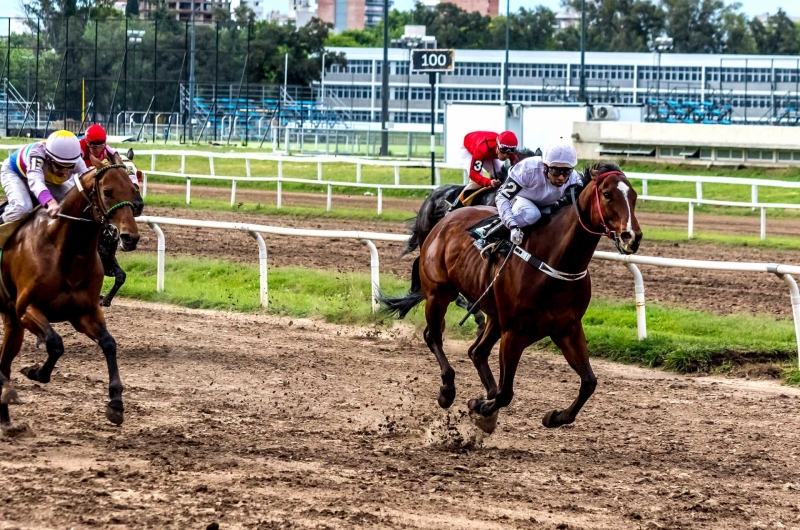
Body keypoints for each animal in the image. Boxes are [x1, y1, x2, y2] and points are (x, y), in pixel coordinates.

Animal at [0, 154, 141, 434]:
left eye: (134, 189)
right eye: (107, 192)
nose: (131, 238)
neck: (65, 251)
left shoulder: (83, 313)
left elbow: (109, 344)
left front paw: (116, 404)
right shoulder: (26, 310)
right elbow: (55, 344)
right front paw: (35, 371)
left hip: (11, 323)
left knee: (4, 363)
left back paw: (6, 416)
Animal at [382, 163, 644, 432]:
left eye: (634, 196)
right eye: (607, 194)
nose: (631, 237)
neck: (554, 263)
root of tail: (444, 220)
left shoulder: (567, 328)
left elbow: (589, 382)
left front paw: (554, 416)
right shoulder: (515, 332)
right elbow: (505, 392)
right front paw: (482, 406)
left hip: (494, 315)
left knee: (476, 351)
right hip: (439, 293)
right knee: (433, 335)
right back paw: (447, 390)